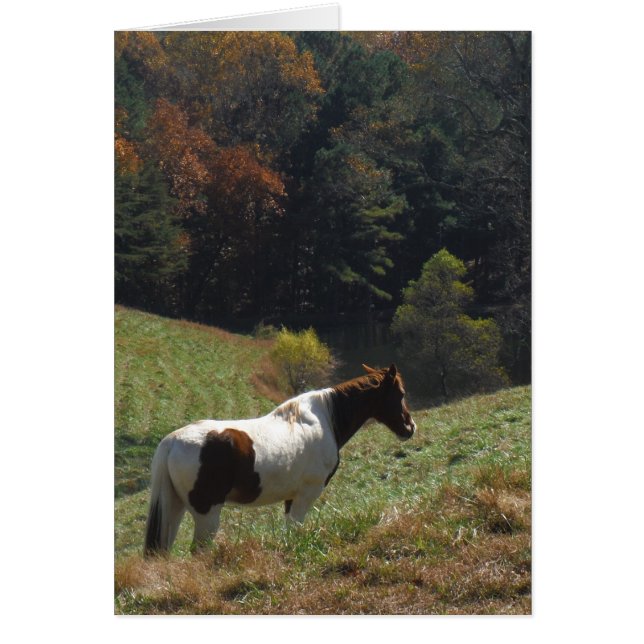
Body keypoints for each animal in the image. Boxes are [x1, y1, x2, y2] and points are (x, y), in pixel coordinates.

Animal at [144, 363, 416, 555]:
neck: (325, 419)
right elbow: (296, 530)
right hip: (206, 514)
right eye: (401, 393)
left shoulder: (291, 497)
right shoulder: (306, 494)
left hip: (174, 508)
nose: (410, 427)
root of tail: (172, 441)